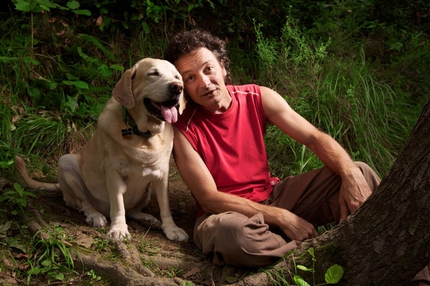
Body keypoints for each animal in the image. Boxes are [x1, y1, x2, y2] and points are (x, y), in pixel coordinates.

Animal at [16, 58, 188, 241]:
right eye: (154, 73)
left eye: (177, 77)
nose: (177, 87)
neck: (142, 136)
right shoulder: (113, 171)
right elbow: (118, 204)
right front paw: (118, 229)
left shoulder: (162, 174)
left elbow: (165, 205)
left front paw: (171, 228)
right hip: (66, 163)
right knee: (83, 204)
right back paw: (95, 216)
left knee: (132, 210)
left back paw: (148, 219)